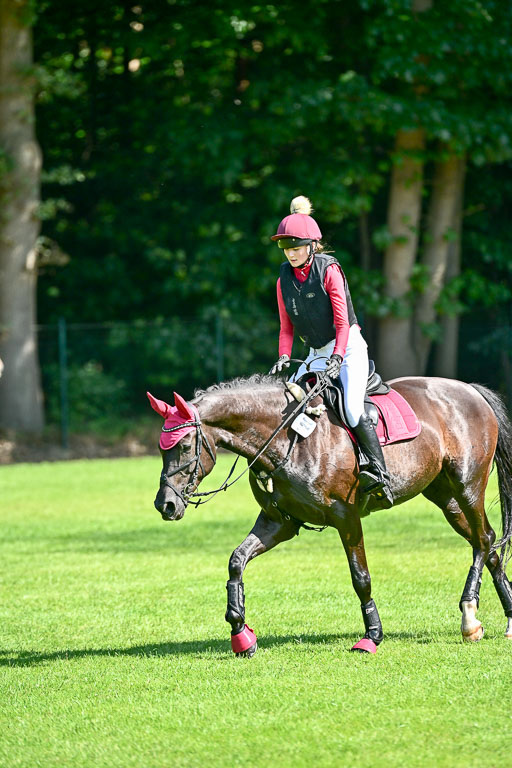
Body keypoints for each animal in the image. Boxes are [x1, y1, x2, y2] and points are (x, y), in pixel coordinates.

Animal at [148, 374, 512, 656]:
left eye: (184, 446)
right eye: (162, 449)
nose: (165, 505)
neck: (289, 438)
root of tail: (470, 390)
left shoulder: (346, 518)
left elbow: (360, 578)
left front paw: (372, 636)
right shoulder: (279, 522)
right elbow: (237, 561)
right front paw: (241, 634)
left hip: (467, 485)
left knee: (483, 541)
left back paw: (469, 618)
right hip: (445, 496)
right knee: (489, 545)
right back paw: (508, 618)